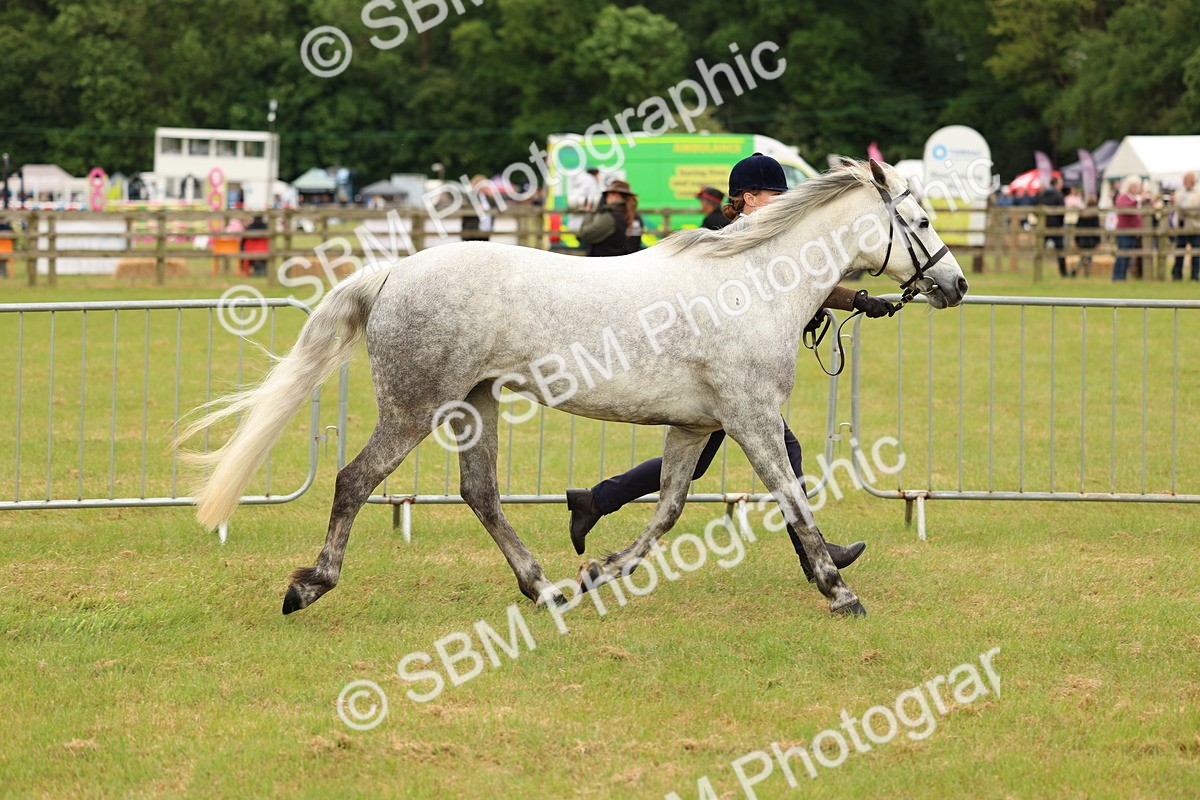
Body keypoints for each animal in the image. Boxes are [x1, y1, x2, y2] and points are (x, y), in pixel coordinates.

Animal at [178, 159, 967, 618]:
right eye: (923, 220)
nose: (955, 285)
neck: (752, 285)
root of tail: (393, 272)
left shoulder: (696, 426)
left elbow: (667, 508)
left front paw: (600, 570)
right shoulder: (751, 420)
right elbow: (792, 498)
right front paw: (840, 589)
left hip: (475, 403)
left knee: (480, 493)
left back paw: (546, 587)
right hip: (414, 408)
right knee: (354, 480)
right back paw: (307, 585)